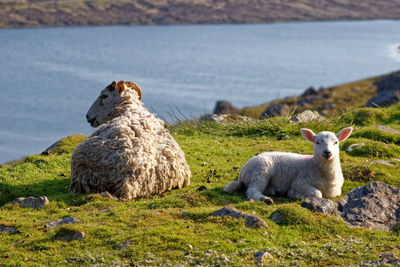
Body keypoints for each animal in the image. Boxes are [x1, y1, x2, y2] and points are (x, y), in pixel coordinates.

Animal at [225, 127, 354, 203]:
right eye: (317, 142)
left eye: (336, 142)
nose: (327, 152)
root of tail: (242, 173)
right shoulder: (299, 183)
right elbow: (317, 193)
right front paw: (294, 194)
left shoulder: (337, 190)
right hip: (261, 170)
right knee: (252, 191)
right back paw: (266, 199)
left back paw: (273, 191)